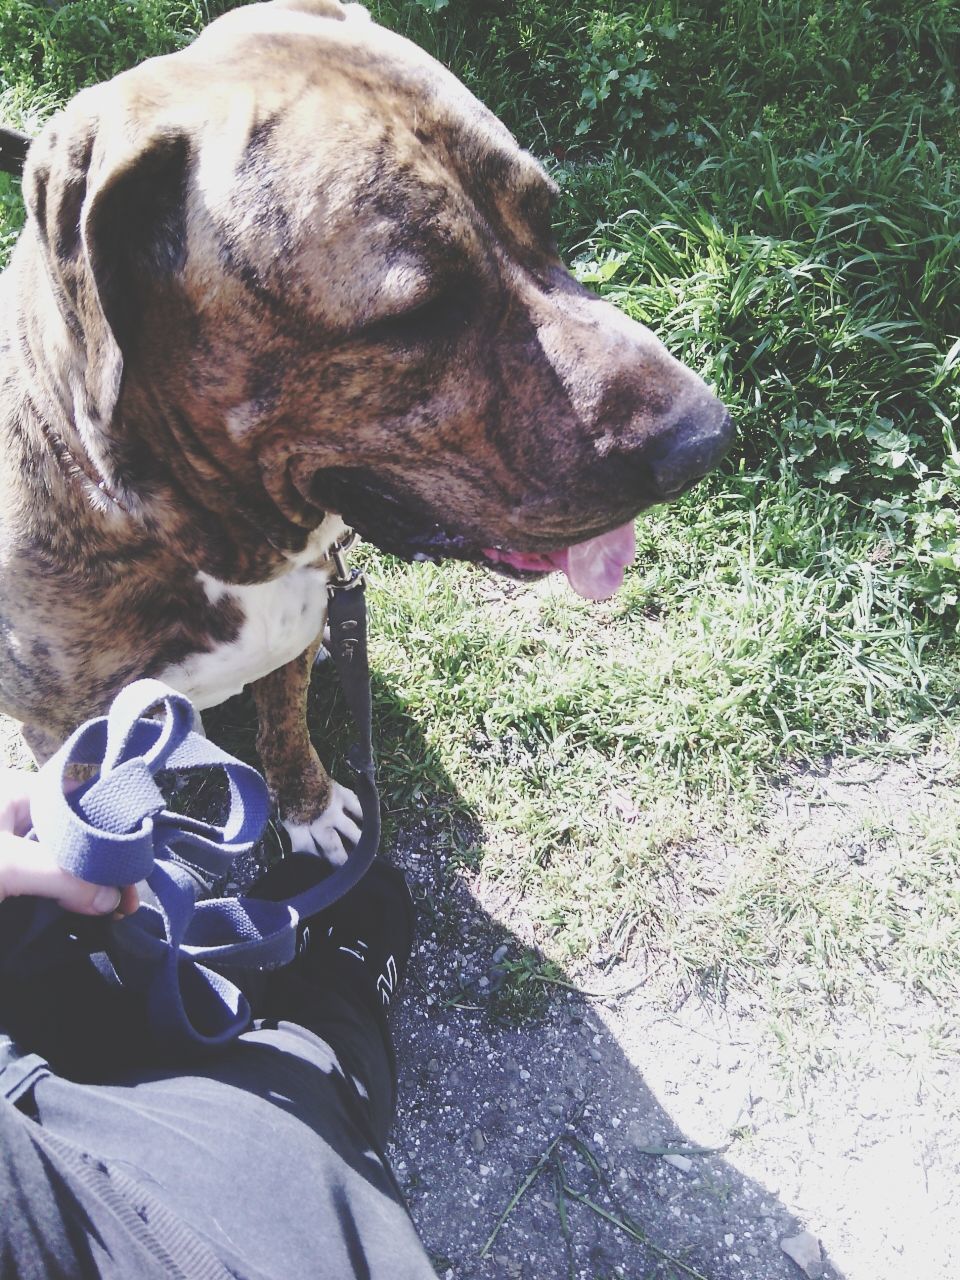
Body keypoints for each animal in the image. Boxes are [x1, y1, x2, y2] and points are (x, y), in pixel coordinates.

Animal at [0, 0, 727, 860]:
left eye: (547, 218)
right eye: (419, 312)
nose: (705, 438)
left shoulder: (289, 643)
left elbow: (285, 726)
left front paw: (309, 807)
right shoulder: (67, 743)